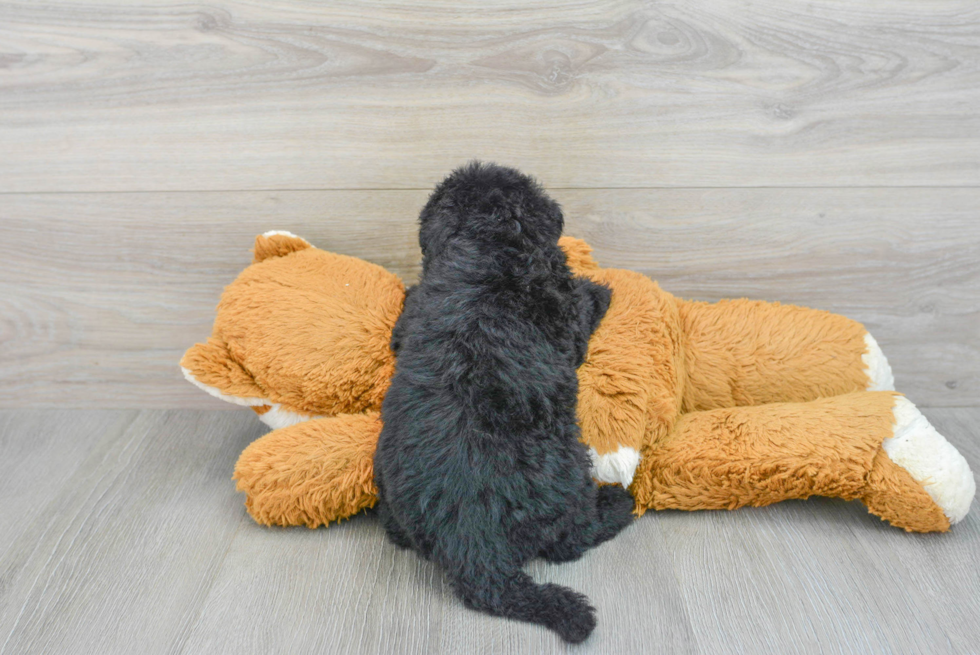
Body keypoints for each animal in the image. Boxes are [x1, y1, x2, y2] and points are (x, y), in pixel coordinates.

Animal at [372, 161, 632, 644]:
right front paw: (600, 288)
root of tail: (474, 551)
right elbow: (584, 304)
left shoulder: (411, 314)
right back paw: (618, 505)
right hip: (569, 476)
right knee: (572, 540)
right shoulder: (565, 316)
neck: (481, 248)